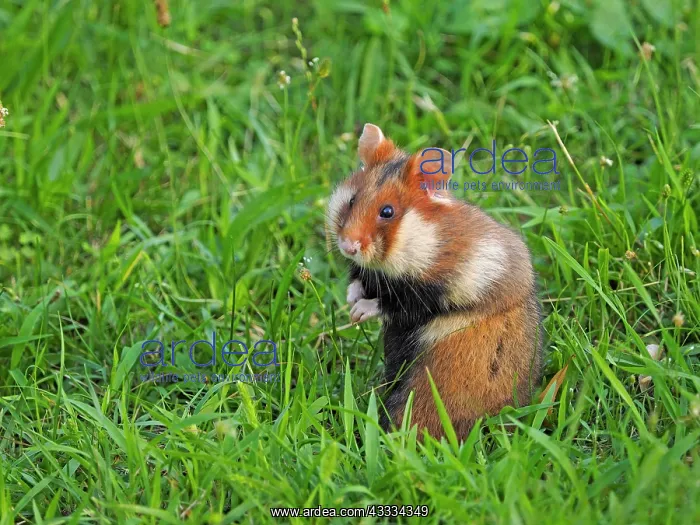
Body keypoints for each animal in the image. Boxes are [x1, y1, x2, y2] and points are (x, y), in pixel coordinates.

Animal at [326, 123, 543, 439]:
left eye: (387, 212)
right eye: (352, 200)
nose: (347, 247)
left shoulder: (432, 292)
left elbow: (394, 304)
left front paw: (358, 311)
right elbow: (359, 281)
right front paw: (351, 299)